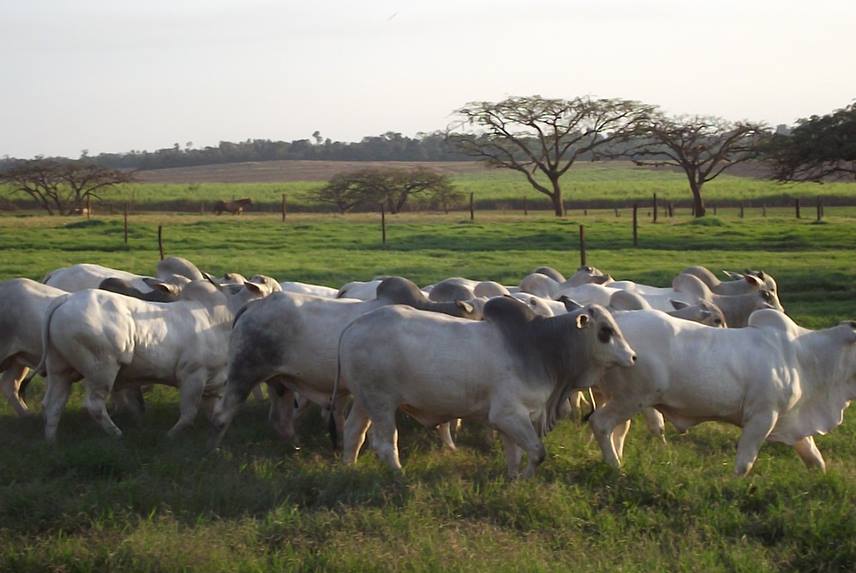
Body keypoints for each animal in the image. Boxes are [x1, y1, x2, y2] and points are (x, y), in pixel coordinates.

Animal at [36, 278, 270, 438]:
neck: (224, 318)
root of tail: (66, 299)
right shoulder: (193, 375)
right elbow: (188, 414)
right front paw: (170, 435)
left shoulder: (214, 383)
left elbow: (213, 413)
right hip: (101, 369)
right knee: (94, 405)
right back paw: (117, 434)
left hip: (59, 369)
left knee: (53, 404)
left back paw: (51, 442)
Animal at [334, 298, 636, 476]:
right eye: (605, 331)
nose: (633, 357)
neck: (542, 347)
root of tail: (353, 326)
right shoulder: (507, 415)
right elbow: (537, 452)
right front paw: (526, 477)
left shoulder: (516, 419)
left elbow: (515, 454)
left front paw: (514, 480)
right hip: (381, 403)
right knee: (385, 444)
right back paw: (399, 475)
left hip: (365, 401)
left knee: (353, 432)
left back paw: (348, 467)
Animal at [592, 310, 856, 476]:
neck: (804, 356)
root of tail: (617, 318)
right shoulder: (762, 416)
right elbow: (744, 464)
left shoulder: (790, 420)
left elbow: (815, 459)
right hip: (632, 398)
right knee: (600, 424)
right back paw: (615, 466)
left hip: (620, 399)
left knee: (618, 430)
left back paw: (617, 460)